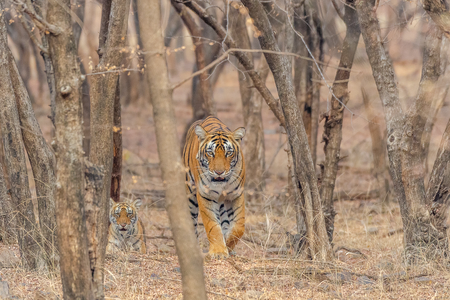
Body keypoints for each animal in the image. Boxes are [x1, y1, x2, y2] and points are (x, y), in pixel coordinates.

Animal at [183, 115, 246, 258]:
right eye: (210, 153)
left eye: (229, 153)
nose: (219, 172)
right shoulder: (206, 195)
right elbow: (212, 225)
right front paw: (218, 251)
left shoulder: (236, 194)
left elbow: (239, 226)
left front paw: (228, 245)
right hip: (190, 194)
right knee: (192, 222)